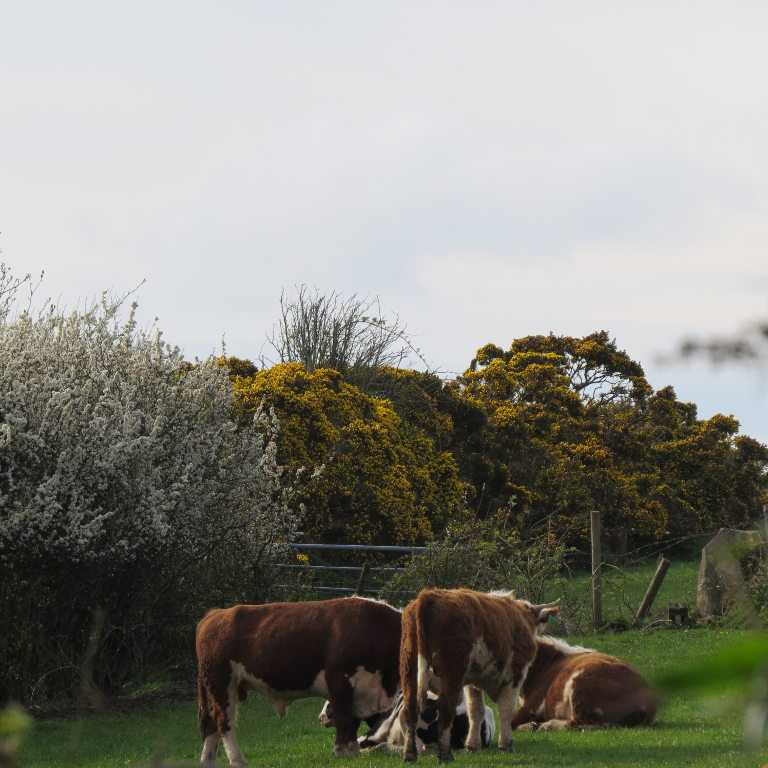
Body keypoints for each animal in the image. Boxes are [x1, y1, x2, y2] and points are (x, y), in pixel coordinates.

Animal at [196, 597, 402, 765]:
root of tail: (216, 614)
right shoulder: (339, 681)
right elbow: (344, 718)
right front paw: (343, 752)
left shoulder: (360, 689)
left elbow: (353, 720)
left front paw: (352, 750)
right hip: (222, 683)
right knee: (224, 721)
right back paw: (237, 760)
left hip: (228, 687)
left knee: (212, 721)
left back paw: (207, 760)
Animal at [399, 588, 559, 763]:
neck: (522, 617)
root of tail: (428, 595)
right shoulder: (515, 676)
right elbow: (506, 710)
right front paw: (506, 744)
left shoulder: (473, 682)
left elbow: (476, 711)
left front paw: (472, 746)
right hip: (452, 674)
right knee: (445, 710)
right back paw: (445, 755)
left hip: (409, 672)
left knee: (410, 710)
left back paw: (409, 754)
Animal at [509, 636, 658, 731]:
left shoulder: (533, 705)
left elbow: (511, 720)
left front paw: (528, 725)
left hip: (580, 686)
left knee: (581, 723)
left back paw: (548, 725)